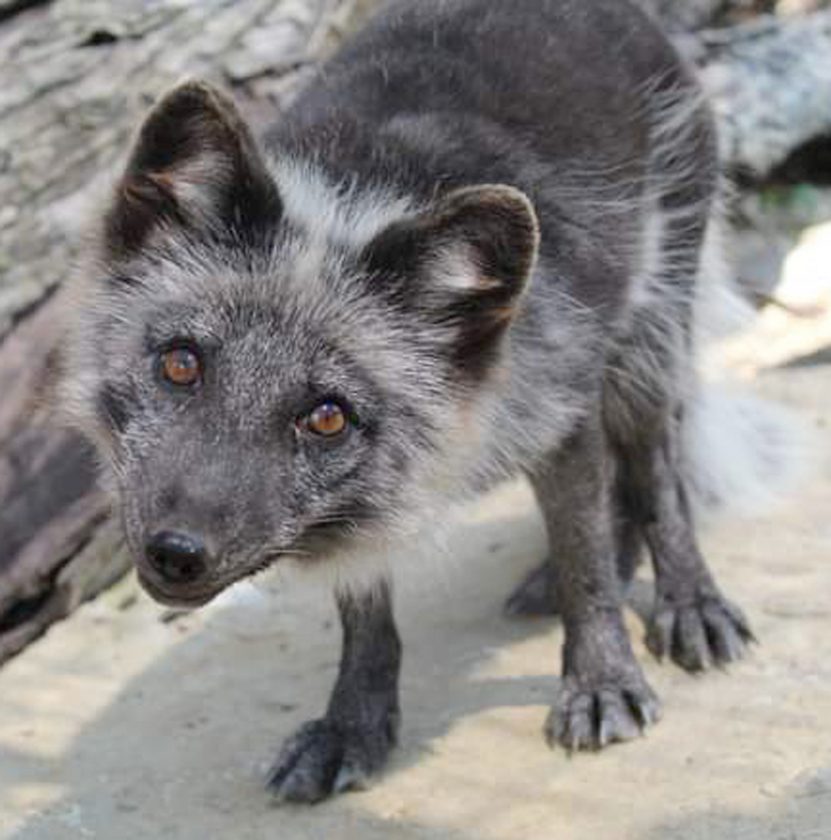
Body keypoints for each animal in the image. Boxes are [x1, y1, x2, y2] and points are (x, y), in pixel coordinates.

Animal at [61, 0, 797, 803]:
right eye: (181, 364)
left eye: (327, 416)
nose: (176, 554)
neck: (356, 200)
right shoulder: (369, 500)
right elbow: (365, 613)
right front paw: (354, 726)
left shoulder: (561, 414)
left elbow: (587, 567)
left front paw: (601, 682)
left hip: (647, 339)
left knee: (654, 469)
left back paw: (689, 602)